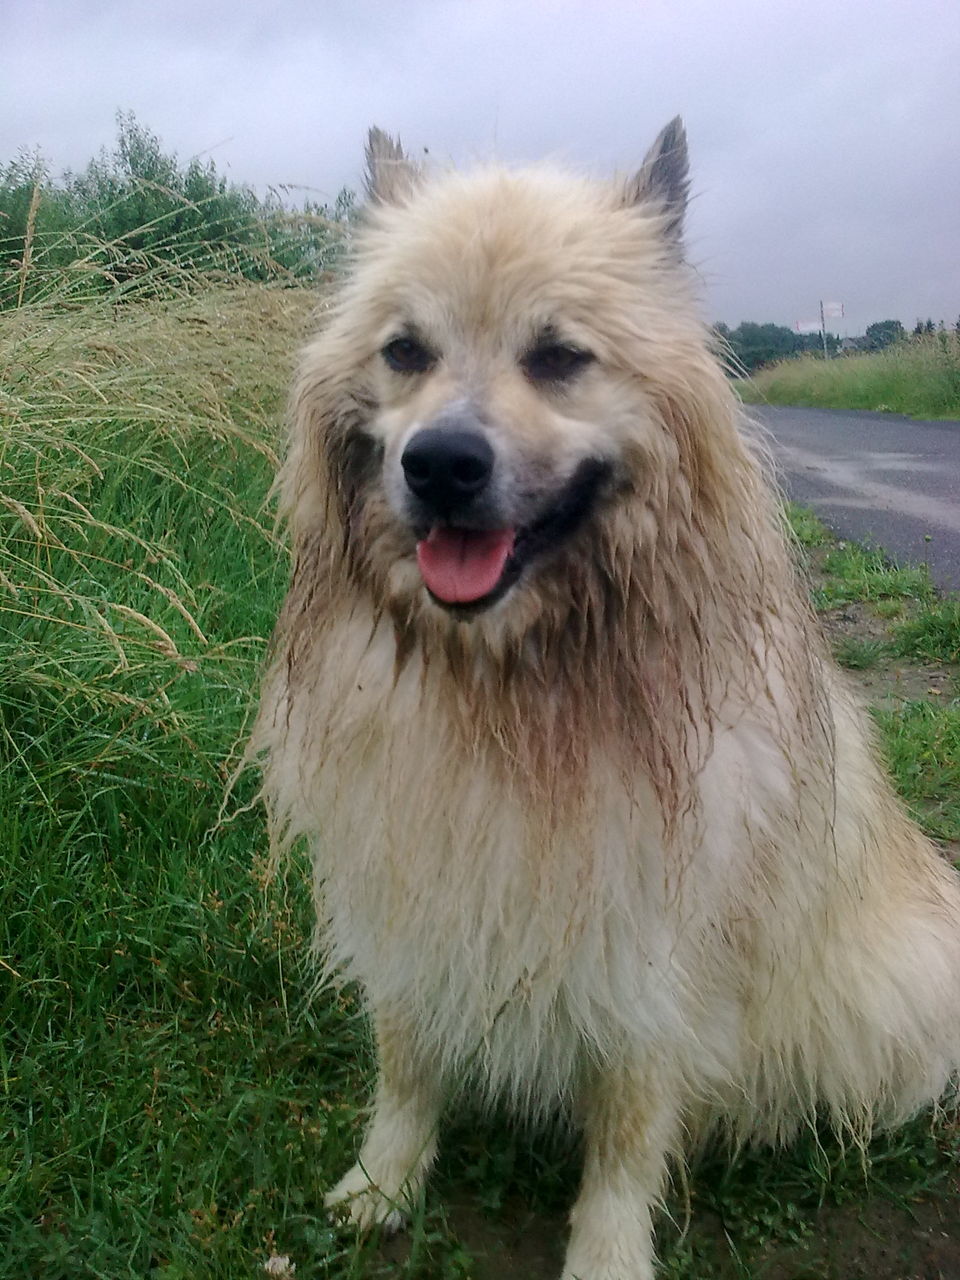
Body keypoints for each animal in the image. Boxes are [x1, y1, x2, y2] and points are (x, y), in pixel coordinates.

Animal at [253, 115, 960, 1274]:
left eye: (557, 357)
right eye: (405, 352)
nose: (440, 463)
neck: (514, 676)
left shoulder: (653, 950)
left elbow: (629, 1125)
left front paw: (608, 1250)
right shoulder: (416, 880)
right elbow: (405, 1056)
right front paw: (384, 1178)